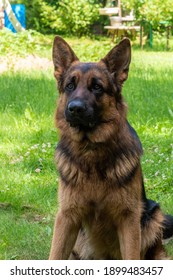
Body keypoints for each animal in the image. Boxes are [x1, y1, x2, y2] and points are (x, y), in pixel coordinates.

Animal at [49, 36, 173, 260]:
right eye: (70, 86)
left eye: (97, 87)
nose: (75, 109)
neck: (91, 151)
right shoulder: (67, 217)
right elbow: (54, 256)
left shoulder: (129, 219)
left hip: (152, 214)